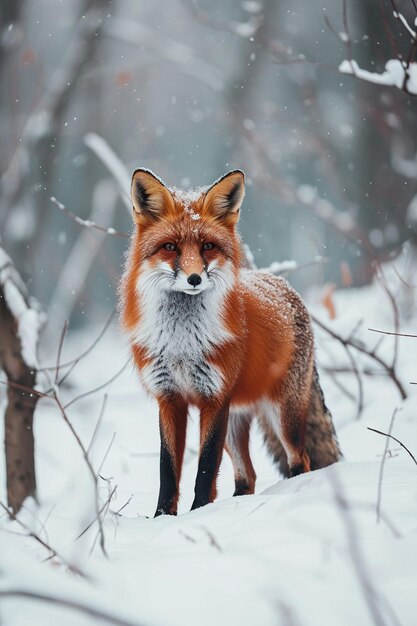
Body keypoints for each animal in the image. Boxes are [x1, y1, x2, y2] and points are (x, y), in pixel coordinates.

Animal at [120, 168, 342, 516]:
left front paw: (197, 512)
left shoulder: (214, 399)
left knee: (300, 459)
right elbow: (167, 469)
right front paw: (161, 518)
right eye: (170, 247)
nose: (194, 279)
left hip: (281, 414)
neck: (182, 345)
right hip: (235, 421)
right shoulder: (169, 398)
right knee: (247, 475)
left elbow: (205, 468)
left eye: (208, 246)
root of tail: (285, 286)